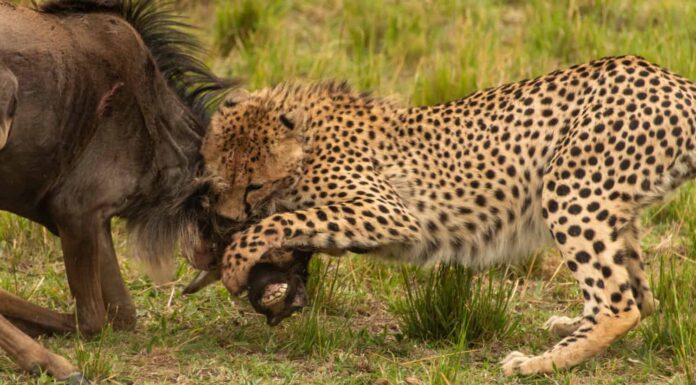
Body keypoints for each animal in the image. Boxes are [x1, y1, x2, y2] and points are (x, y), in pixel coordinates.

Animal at [198, 55, 692, 374]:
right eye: (219, 182)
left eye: (255, 184)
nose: (226, 219)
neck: (306, 139)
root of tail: (670, 78)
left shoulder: (388, 212)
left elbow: (286, 219)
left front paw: (238, 259)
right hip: (610, 205)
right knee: (642, 297)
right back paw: (568, 328)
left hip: (570, 189)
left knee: (619, 305)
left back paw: (536, 364)